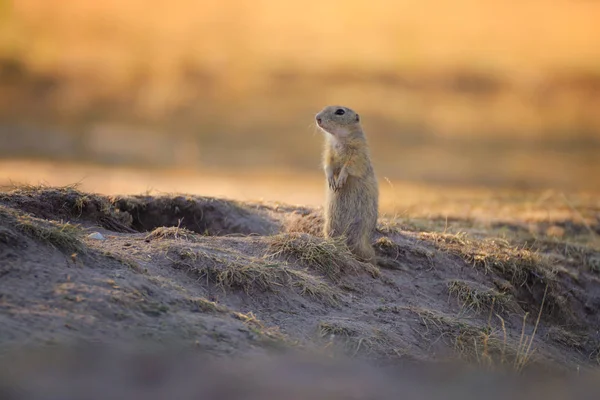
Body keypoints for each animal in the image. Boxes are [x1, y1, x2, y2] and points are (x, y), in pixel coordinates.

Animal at [316, 104, 378, 264]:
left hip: (360, 233)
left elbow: (349, 166)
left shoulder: (358, 152)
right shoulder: (329, 152)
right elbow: (328, 165)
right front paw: (332, 181)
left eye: (340, 111)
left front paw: (340, 180)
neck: (339, 138)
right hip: (330, 226)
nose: (317, 118)